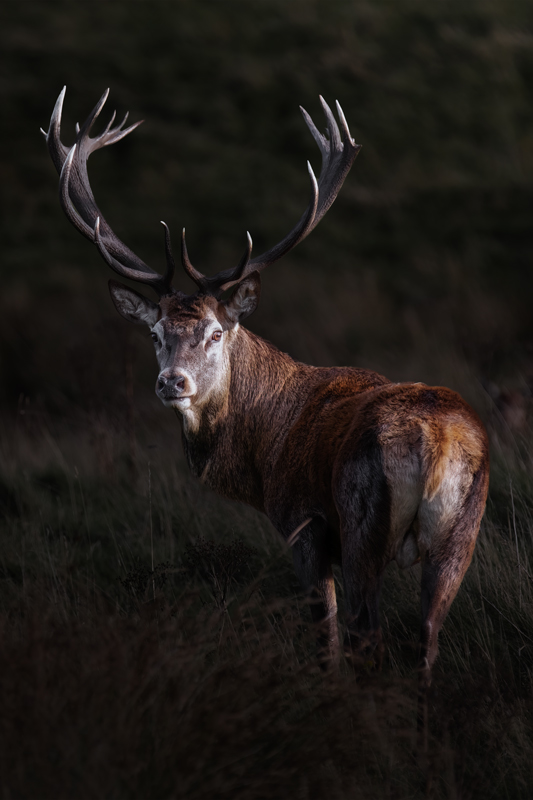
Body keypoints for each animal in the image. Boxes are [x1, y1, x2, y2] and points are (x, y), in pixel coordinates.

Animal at [43, 88, 489, 693]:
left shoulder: (304, 522)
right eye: (156, 334)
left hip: (363, 521)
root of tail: (438, 443)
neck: (264, 447)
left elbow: (324, 637)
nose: (172, 382)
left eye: (214, 332)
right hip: (461, 533)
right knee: (427, 642)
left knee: (367, 638)